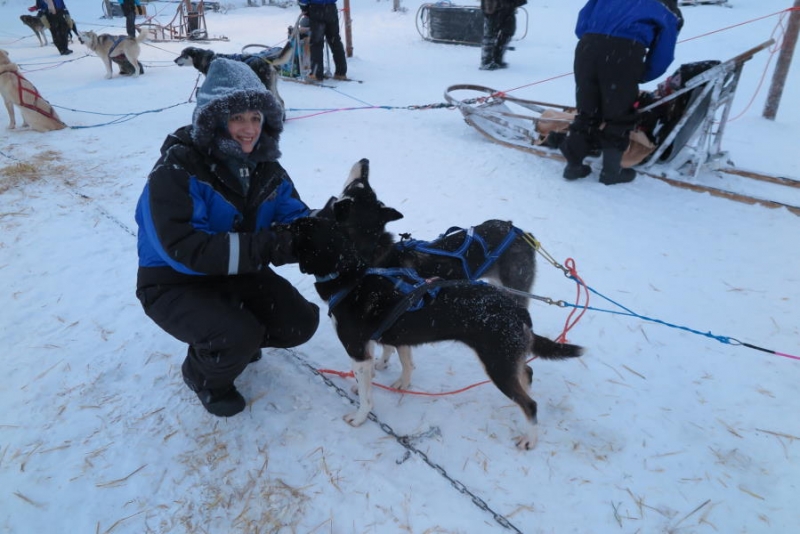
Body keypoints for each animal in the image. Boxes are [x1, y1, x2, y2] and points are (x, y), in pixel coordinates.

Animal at [288, 218, 580, 452]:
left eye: (295, 228)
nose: (280, 224)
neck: (352, 278)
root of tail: (517, 310)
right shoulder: (393, 340)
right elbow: (403, 362)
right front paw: (398, 382)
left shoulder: (357, 350)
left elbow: (366, 395)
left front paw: (359, 416)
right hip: (506, 358)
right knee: (526, 373)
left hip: (496, 363)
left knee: (530, 405)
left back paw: (529, 438)